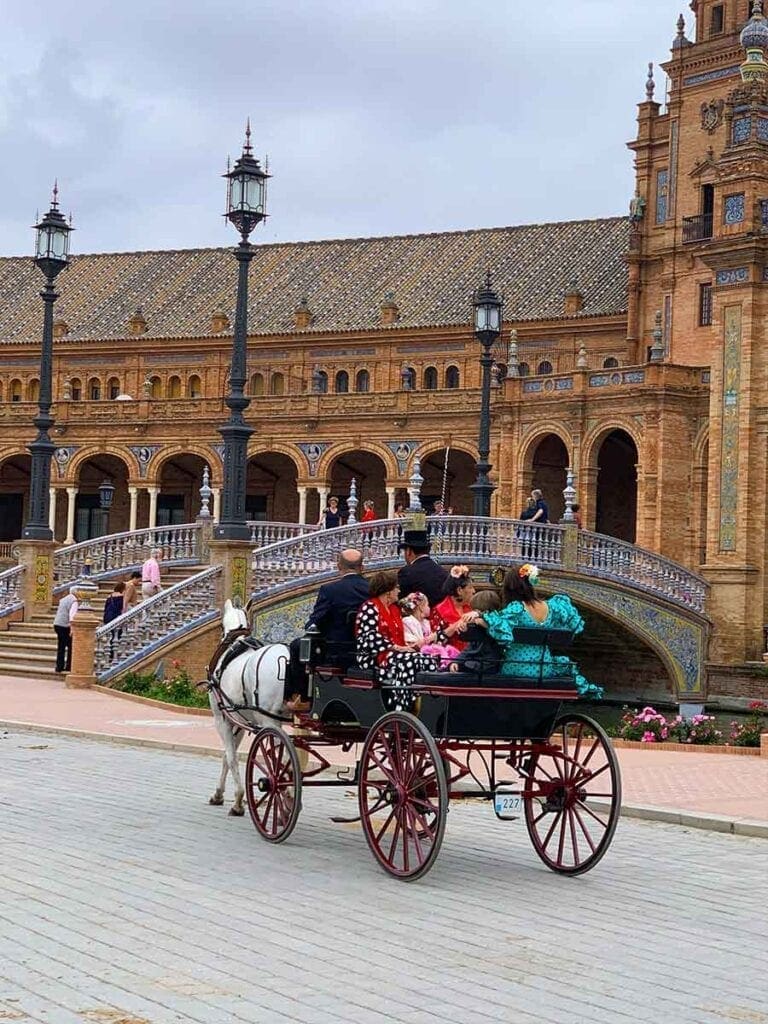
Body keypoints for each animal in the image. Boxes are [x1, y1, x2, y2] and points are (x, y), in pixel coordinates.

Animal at [208, 598, 290, 815]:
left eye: (221, 627)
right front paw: (220, 795)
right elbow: (227, 756)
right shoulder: (238, 720)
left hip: (269, 720)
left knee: (280, 760)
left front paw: (237, 799)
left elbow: (231, 757)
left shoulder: (222, 718)